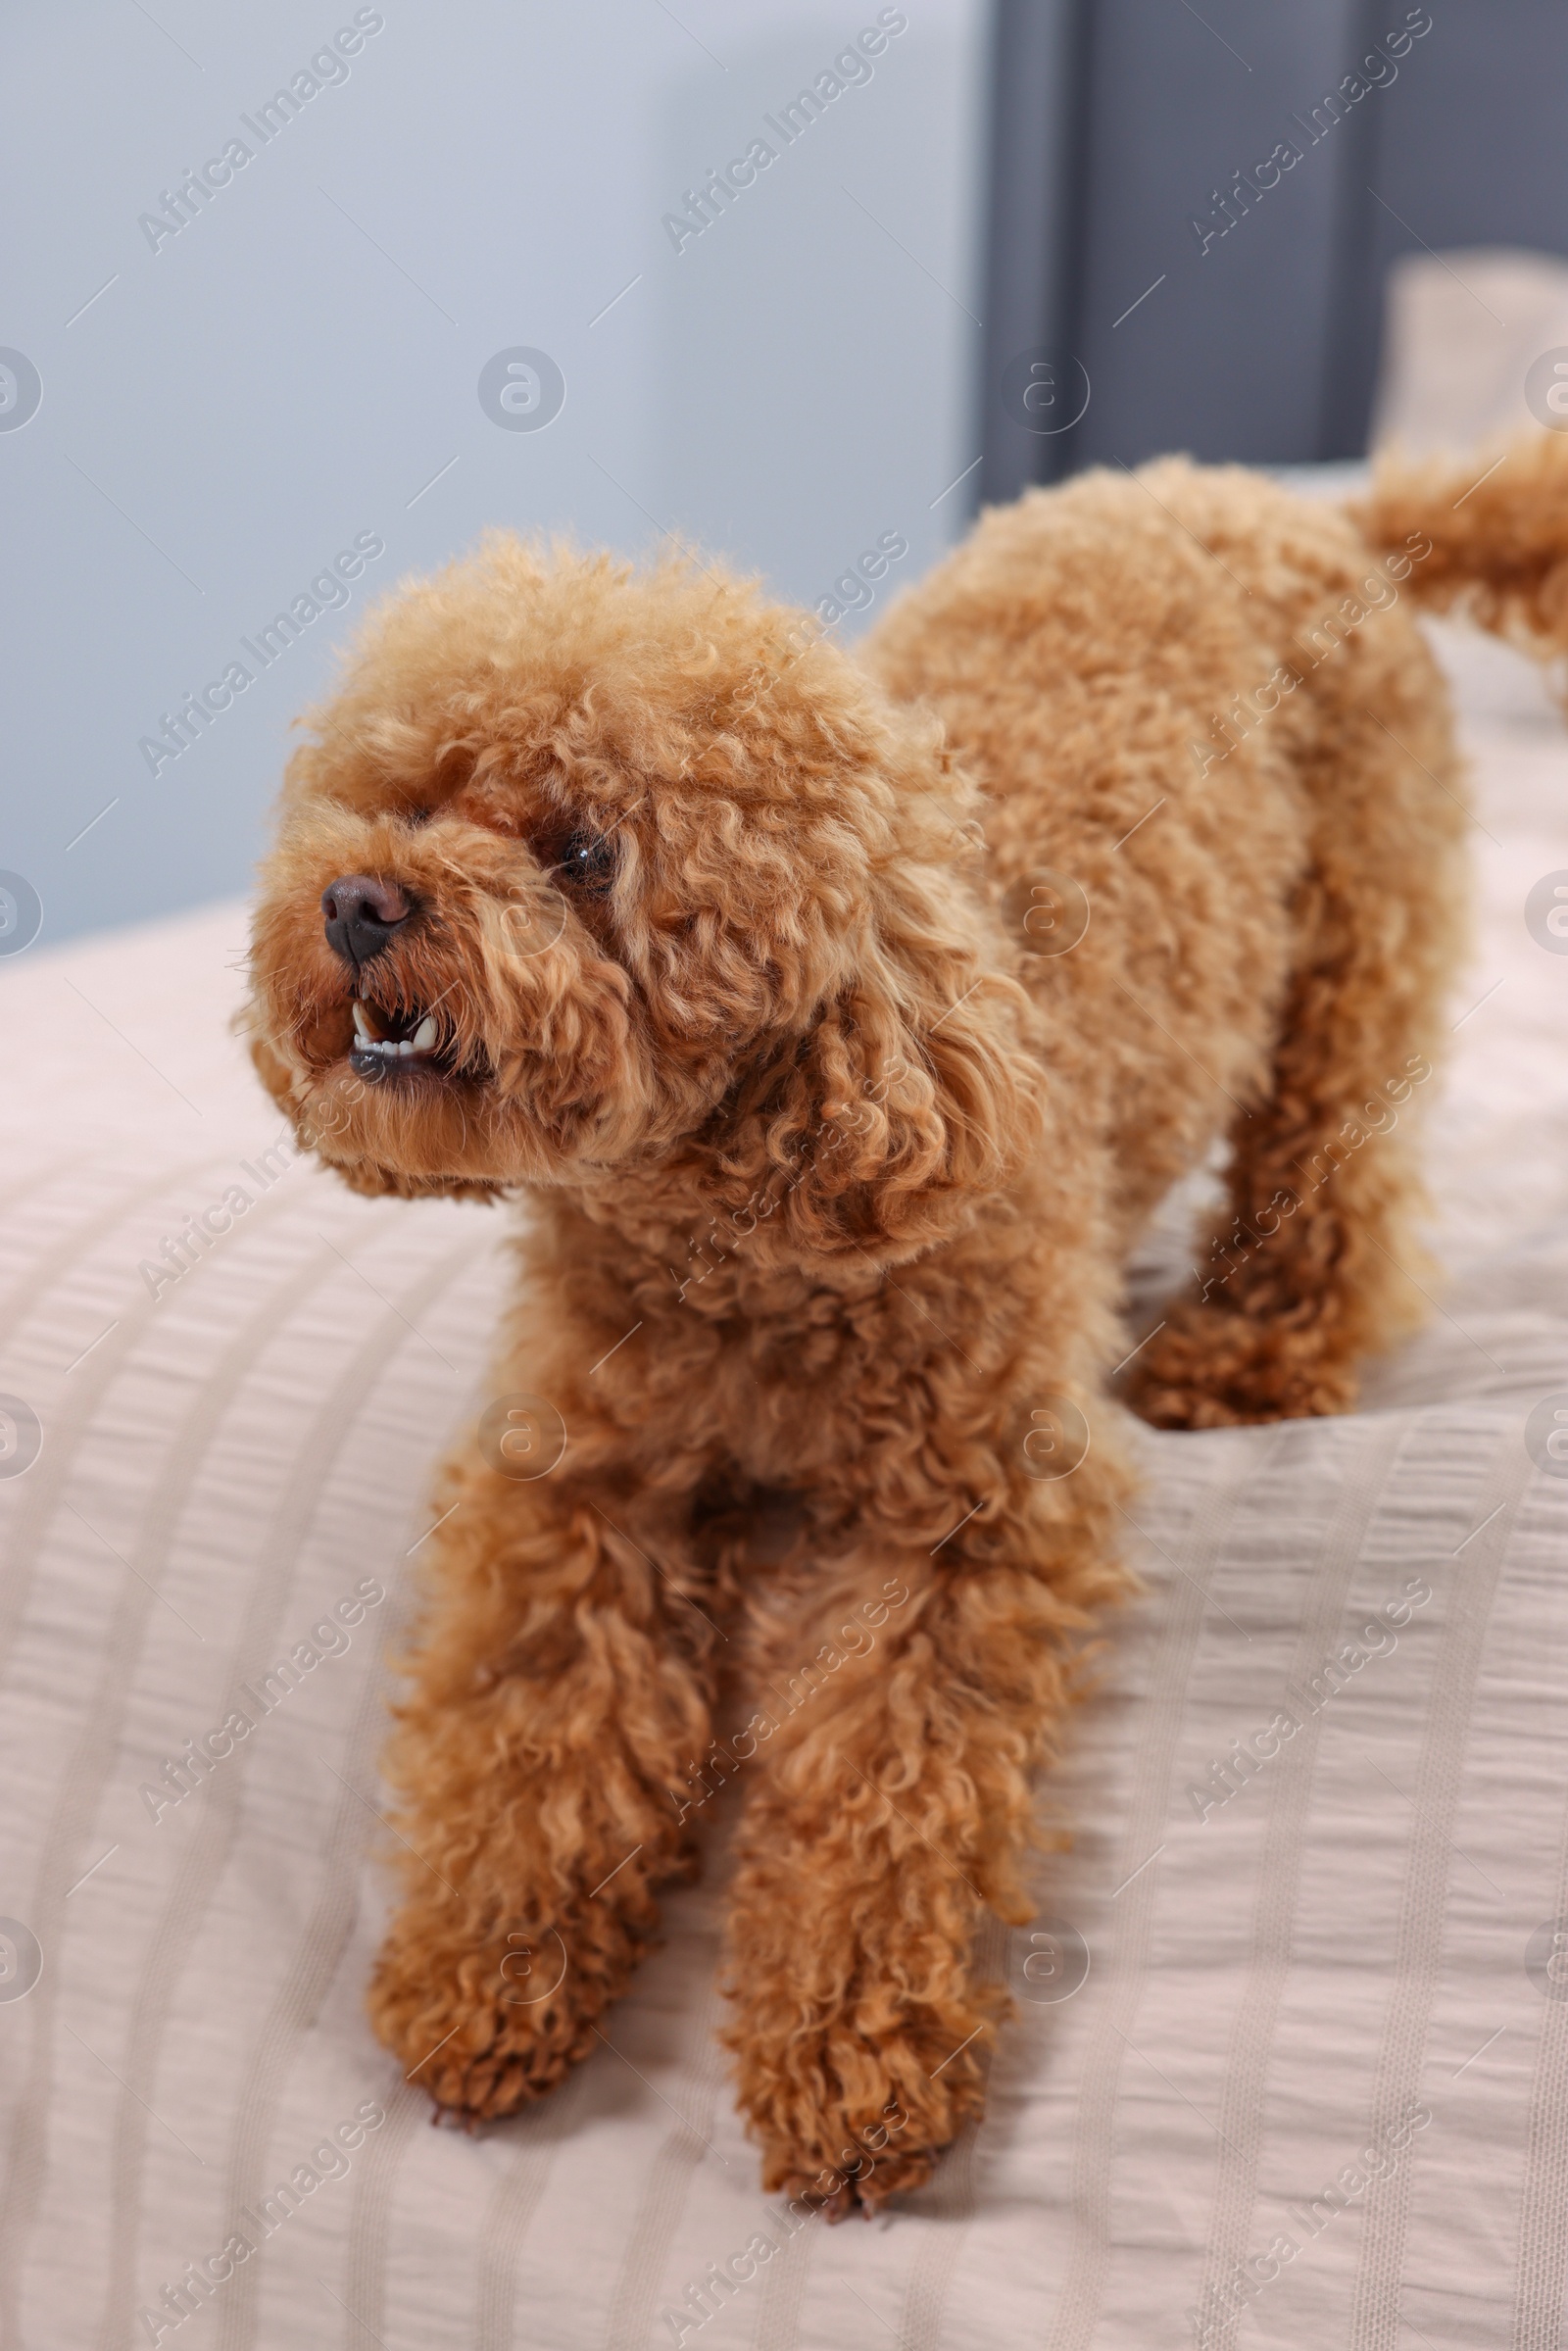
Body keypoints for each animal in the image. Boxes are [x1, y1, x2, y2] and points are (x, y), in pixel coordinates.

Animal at [245, 437, 1568, 2200]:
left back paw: (1251, 1352)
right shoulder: (587, 1475)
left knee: (1331, 1164)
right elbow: (540, 1730)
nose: (357, 901)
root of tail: (1297, 505)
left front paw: (849, 2062)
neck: (738, 1240)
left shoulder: (956, 1518)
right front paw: (484, 1978)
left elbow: (885, 1778)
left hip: (1353, 941)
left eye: (587, 852)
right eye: (404, 799)